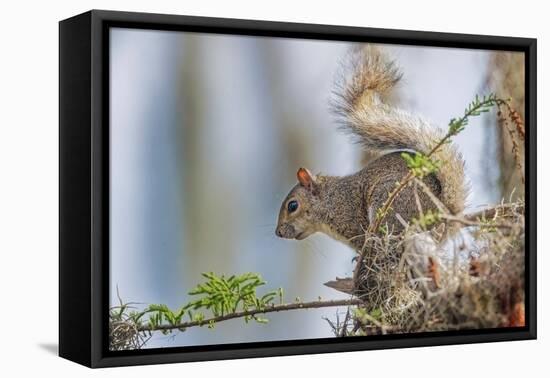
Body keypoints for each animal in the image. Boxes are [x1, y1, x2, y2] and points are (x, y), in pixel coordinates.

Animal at [276, 45, 470, 251]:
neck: (329, 200)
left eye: (292, 206)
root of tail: (445, 213)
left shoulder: (350, 218)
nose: (278, 232)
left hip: (391, 202)